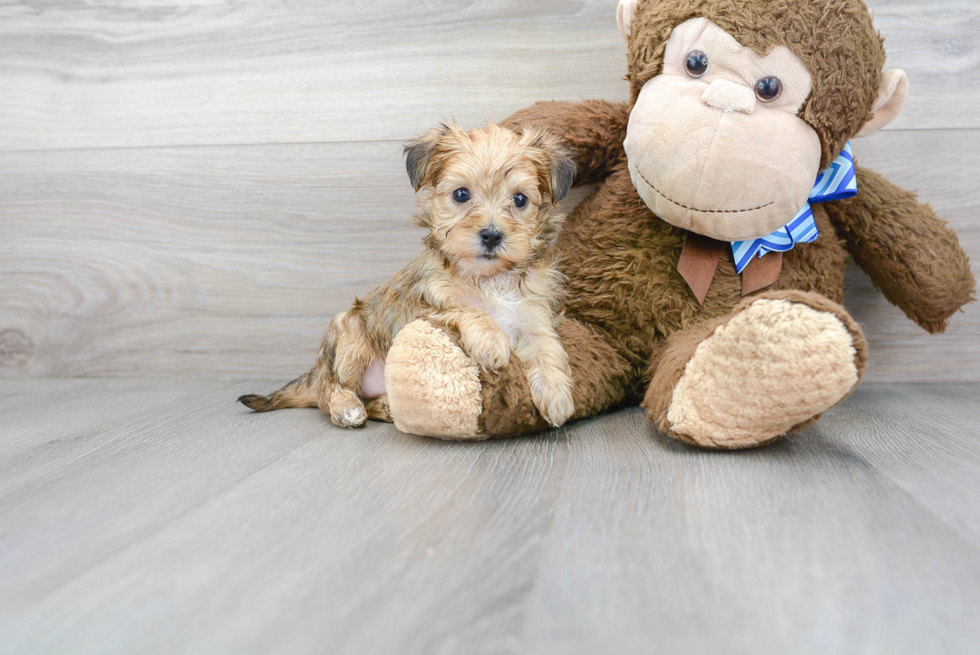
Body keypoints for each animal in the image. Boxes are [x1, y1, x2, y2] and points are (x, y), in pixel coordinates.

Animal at [238, 123, 580, 430]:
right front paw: (491, 341)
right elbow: (468, 309)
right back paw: (346, 408)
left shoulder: (533, 317)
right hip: (348, 334)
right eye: (461, 194)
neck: (489, 278)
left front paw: (557, 397)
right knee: (330, 390)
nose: (492, 235)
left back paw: (386, 407)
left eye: (520, 199)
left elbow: (548, 350)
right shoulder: (424, 309)